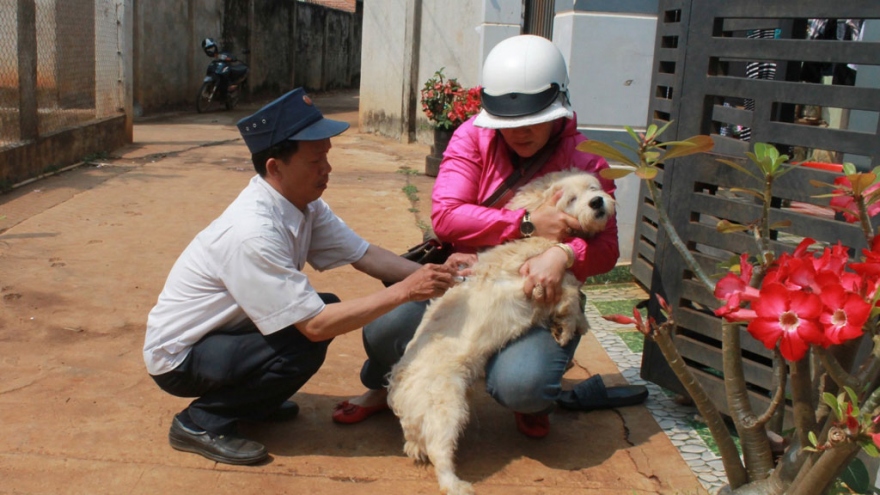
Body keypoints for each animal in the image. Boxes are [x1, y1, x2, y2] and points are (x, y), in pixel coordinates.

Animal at [388, 169, 616, 494]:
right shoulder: (541, 280)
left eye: (594, 187)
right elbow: (571, 293)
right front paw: (570, 326)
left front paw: (572, 324)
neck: (539, 239)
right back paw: (456, 484)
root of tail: (398, 389)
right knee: (439, 453)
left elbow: (573, 287)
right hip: (446, 409)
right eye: (572, 198)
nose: (598, 202)